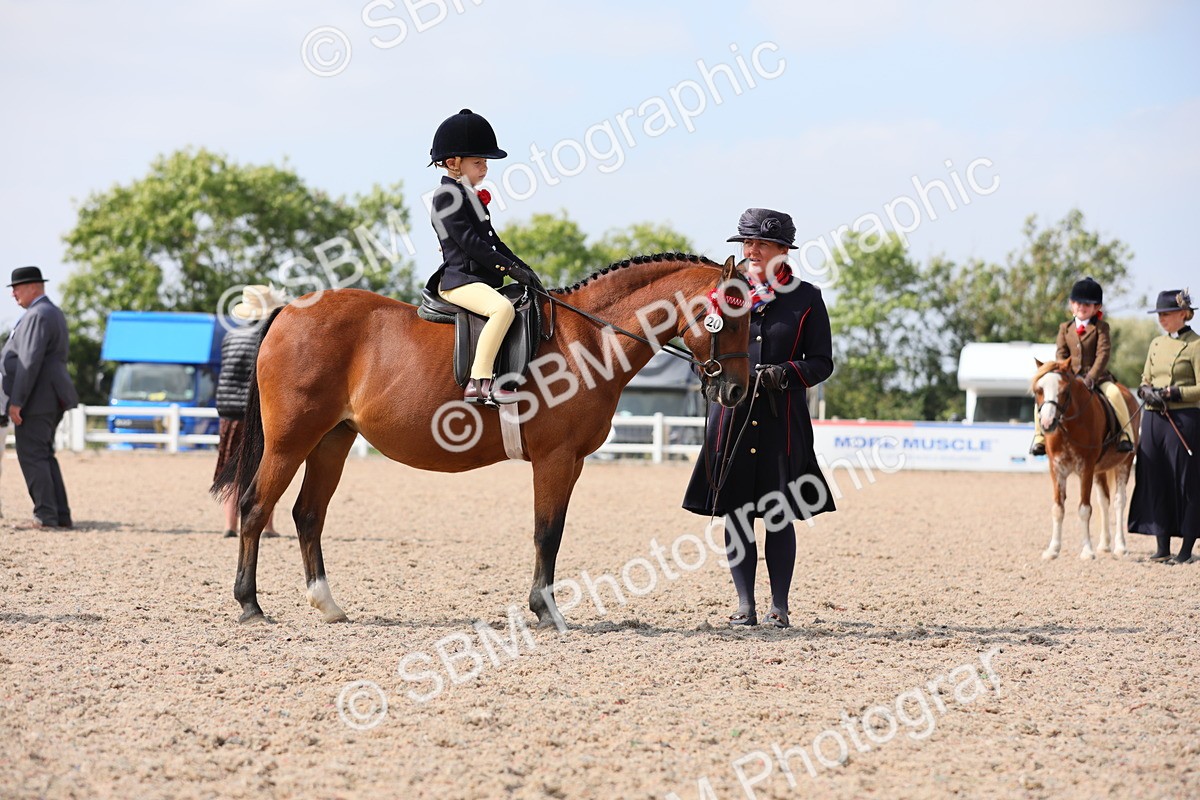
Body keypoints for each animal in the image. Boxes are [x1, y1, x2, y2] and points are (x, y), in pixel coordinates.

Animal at [212, 253, 751, 627]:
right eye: (729, 316)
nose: (736, 391)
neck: (589, 339)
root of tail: (289, 311)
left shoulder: (571, 462)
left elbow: (551, 532)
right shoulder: (555, 459)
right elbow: (547, 532)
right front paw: (547, 611)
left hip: (332, 442)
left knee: (308, 515)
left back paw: (328, 605)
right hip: (290, 442)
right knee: (256, 508)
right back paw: (250, 606)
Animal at [1032, 359, 1138, 560]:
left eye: (1064, 390)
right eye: (1038, 390)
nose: (1047, 424)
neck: (1068, 427)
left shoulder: (1086, 469)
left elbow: (1084, 509)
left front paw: (1087, 551)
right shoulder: (1056, 469)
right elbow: (1058, 508)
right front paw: (1053, 549)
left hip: (1125, 463)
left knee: (1119, 501)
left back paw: (1121, 547)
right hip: (1100, 470)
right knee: (1104, 501)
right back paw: (1104, 545)